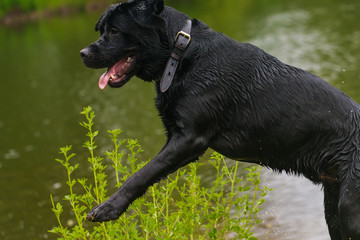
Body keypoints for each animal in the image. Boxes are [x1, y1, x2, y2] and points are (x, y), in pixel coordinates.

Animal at [81, 0, 360, 239]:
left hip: (349, 209)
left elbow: (141, 174)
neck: (180, 53)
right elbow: (148, 172)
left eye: (114, 31)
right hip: (334, 211)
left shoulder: (190, 139)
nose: (83, 52)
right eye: (101, 30)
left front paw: (107, 208)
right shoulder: (178, 140)